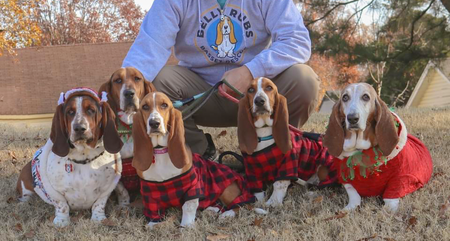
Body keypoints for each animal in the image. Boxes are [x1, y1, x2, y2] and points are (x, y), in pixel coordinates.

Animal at [16, 88, 124, 226]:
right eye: (70, 112)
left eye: (91, 110)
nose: (79, 128)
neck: (84, 157)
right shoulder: (56, 192)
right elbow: (61, 204)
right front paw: (62, 222)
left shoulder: (106, 190)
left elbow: (99, 204)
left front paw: (98, 219)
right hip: (26, 187)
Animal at [132, 91, 262, 227]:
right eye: (145, 107)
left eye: (164, 105)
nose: (154, 123)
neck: (161, 151)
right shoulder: (149, 194)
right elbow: (153, 213)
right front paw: (153, 224)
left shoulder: (192, 188)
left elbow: (188, 208)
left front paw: (186, 226)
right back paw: (212, 210)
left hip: (227, 191)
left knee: (240, 203)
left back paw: (227, 214)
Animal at [237, 78, 336, 206]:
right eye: (250, 89)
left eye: (269, 87)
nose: (259, 101)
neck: (264, 131)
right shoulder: (251, 169)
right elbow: (257, 190)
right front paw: (258, 202)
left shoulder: (288, 164)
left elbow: (279, 184)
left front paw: (273, 202)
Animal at [324, 84, 432, 212]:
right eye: (345, 97)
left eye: (366, 97)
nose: (352, 118)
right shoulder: (346, 180)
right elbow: (353, 195)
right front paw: (348, 209)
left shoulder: (399, 179)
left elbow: (390, 199)